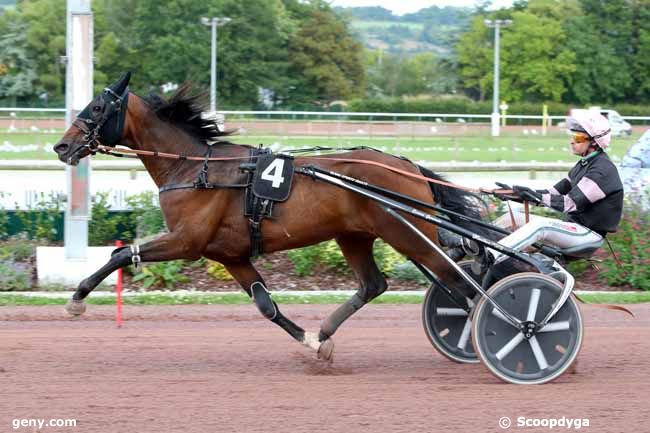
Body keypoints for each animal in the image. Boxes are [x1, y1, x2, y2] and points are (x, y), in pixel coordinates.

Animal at [54, 72, 492, 360]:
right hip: (355, 235)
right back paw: (328, 330)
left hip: (408, 234)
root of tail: (409, 166)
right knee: (375, 285)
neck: (195, 168)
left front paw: (77, 299)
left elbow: (121, 253)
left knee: (461, 283)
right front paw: (313, 342)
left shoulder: (187, 241)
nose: (61, 146)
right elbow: (266, 305)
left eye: (96, 107)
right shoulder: (229, 255)